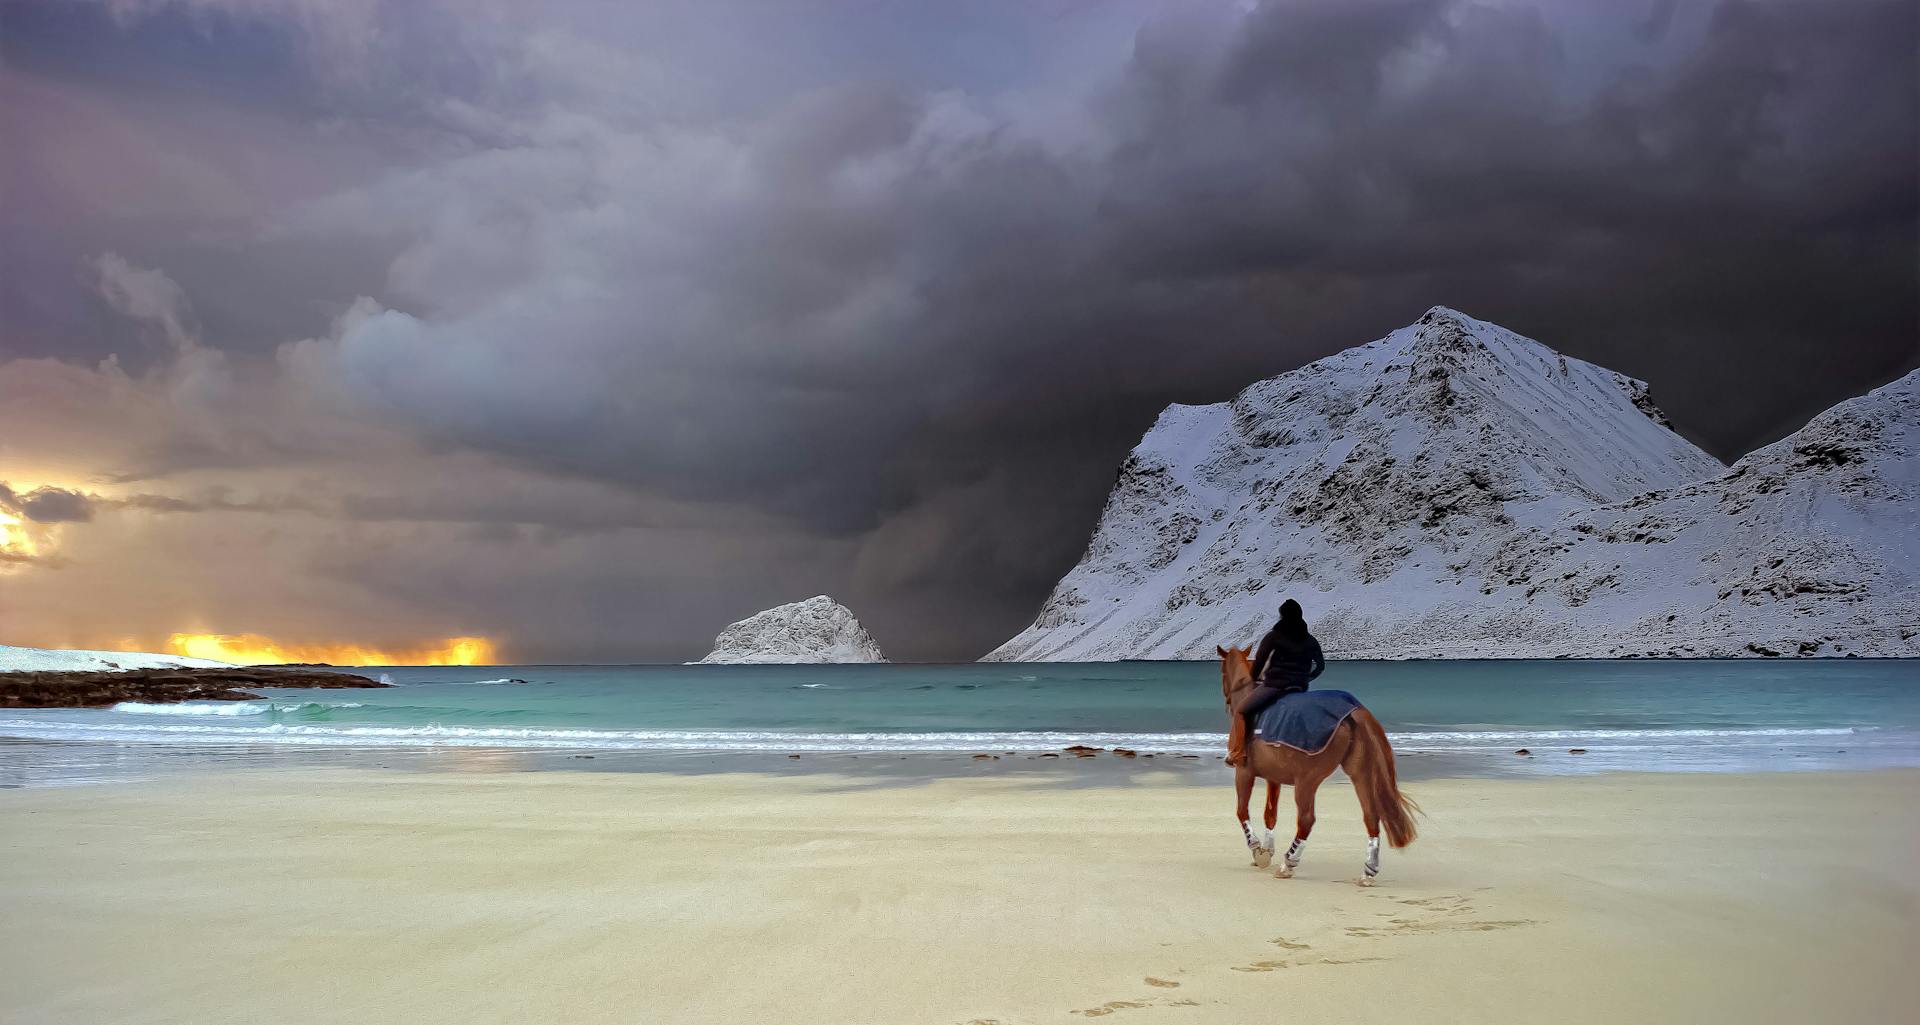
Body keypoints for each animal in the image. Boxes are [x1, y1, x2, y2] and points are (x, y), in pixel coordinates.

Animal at [1221, 648, 1420, 886]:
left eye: (1222, 672)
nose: (1227, 701)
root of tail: (1353, 710)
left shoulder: (1244, 772)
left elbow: (1242, 811)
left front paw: (1257, 849)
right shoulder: (1273, 777)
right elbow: (1270, 814)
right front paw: (1267, 851)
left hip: (1307, 781)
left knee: (1306, 819)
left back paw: (1288, 864)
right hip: (1360, 773)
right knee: (1371, 816)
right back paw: (1368, 871)